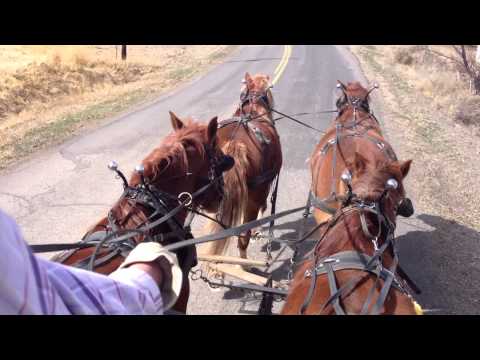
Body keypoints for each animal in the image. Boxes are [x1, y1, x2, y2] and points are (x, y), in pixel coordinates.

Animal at [200, 73, 284, 264]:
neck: (254, 111)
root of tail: (235, 143)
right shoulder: (265, 185)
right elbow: (264, 206)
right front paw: (258, 231)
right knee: (243, 235)